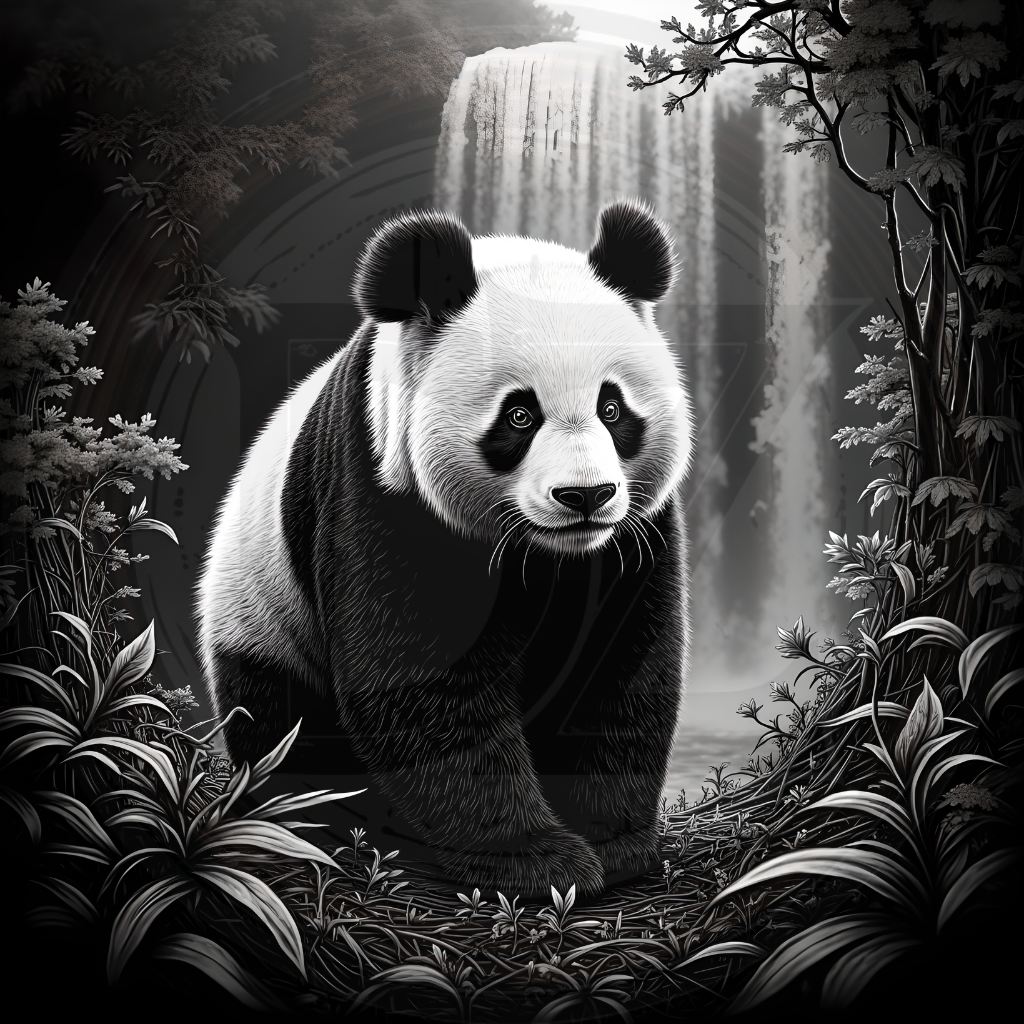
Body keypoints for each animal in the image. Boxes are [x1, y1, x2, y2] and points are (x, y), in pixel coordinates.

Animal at [197, 200, 692, 897]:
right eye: (519, 415)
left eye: (612, 407)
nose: (585, 496)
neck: (542, 551)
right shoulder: (382, 485)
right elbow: (421, 679)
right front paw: (535, 860)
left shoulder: (630, 538)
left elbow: (619, 668)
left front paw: (613, 843)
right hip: (263, 612)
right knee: (288, 726)